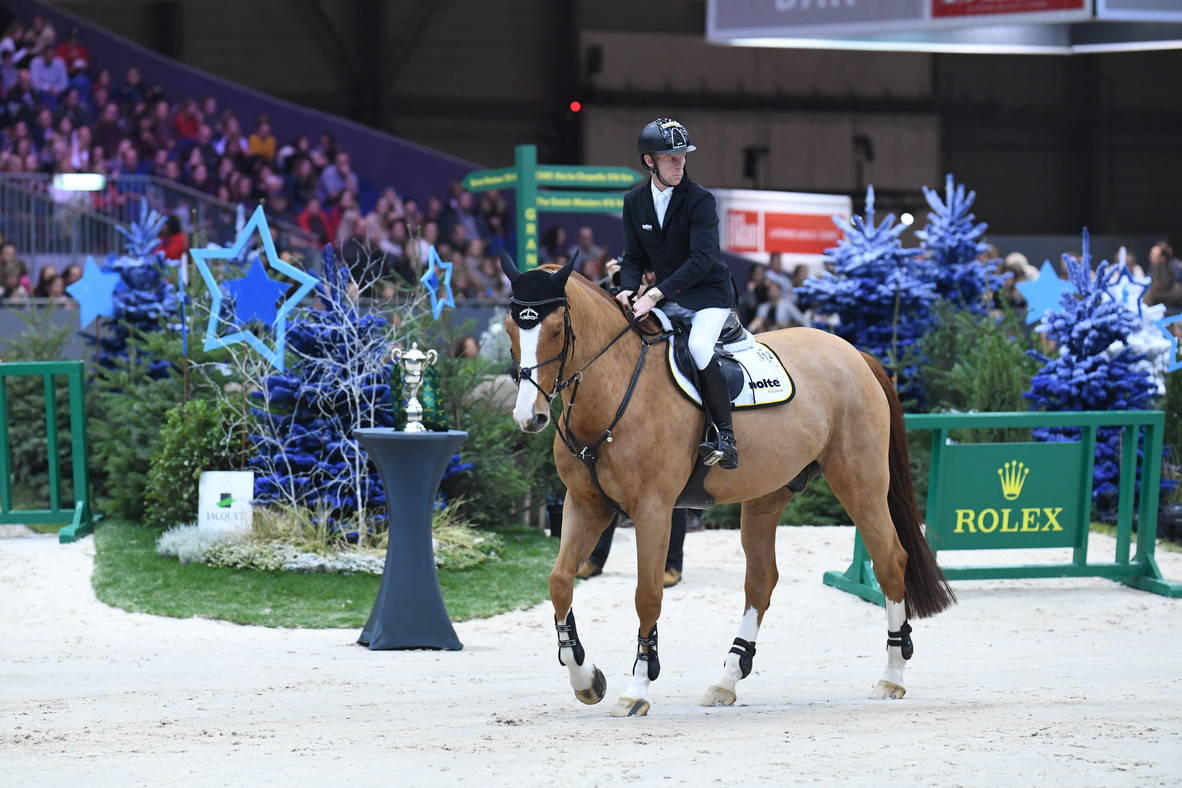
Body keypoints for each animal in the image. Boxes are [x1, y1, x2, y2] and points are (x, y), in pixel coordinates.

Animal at [503, 256, 955, 718]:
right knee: (761, 580)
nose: (530, 417)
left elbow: (647, 594)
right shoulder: (585, 504)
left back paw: (892, 676)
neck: (614, 391)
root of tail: (853, 352)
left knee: (890, 560)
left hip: (860, 482)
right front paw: (586, 679)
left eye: (556, 331)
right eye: (510, 331)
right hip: (767, 495)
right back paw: (727, 679)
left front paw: (637, 688)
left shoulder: (653, 510)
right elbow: (559, 581)